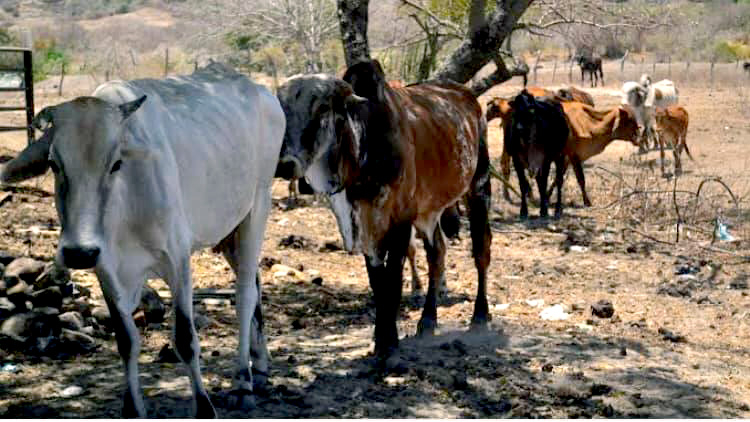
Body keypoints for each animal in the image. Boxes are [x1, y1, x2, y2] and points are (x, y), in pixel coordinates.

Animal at [0, 62, 286, 418]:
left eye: (116, 163)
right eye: (54, 164)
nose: (79, 252)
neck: (124, 211)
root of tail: (260, 90)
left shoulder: (177, 258)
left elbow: (185, 340)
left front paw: (204, 407)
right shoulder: (106, 268)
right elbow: (126, 340)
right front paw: (132, 408)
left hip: (257, 208)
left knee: (246, 293)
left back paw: (243, 382)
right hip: (229, 230)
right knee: (256, 284)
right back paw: (259, 367)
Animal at [276, 60, 494, 366]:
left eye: (322, 109)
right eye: (282, 109)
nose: (284, 164)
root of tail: (466, 96)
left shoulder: (400, 220)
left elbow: (392, 281)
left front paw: (389, 343)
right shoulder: (364, 224)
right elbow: (377, 282)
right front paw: (381, 339)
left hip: (479, 187)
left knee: (481, 251)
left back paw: (480, 317)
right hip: (429, 210)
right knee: (437, 253)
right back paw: (428, 322)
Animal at [508, 91, 572, 219]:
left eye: (530, 110)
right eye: (515, 111)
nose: (518, 128)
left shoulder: (546, 159)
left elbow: (544, 182)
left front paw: (544, 210)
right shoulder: (516, 159)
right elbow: (523, 184)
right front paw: (523, 211)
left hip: (560, 155)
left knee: (559, 180)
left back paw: (558, 209)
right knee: (539, 180)